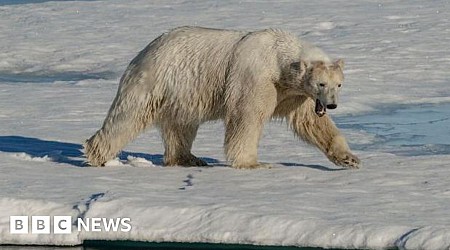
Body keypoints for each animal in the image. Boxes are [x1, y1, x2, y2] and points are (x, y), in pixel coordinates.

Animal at [83, 25, 358, 168]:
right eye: (321, 83)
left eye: (339, 84)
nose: (331, 104)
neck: (278, 57)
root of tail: (144, 51)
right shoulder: (255, 77)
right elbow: (246, 117)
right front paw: (253, 163)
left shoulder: (294, 93)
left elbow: (311, 122)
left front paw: (349, 159)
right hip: (155, 81)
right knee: (127, 118)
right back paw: (97, 155)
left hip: (182, 93)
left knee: (181, 125)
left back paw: (188, 158)